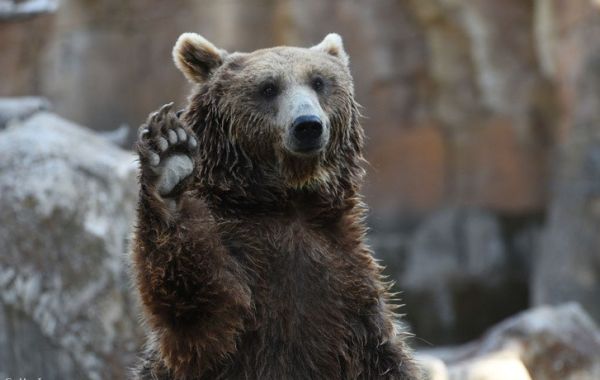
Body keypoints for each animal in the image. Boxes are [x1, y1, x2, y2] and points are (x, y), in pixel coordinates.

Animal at [131, 33, 418, 380]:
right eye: (268, 87)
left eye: (318, 81)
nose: (308, 125)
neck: (287, 203)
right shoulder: (240, 270)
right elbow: (196, 305)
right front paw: (169, 157)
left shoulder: (354, 297)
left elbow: (386, 359)